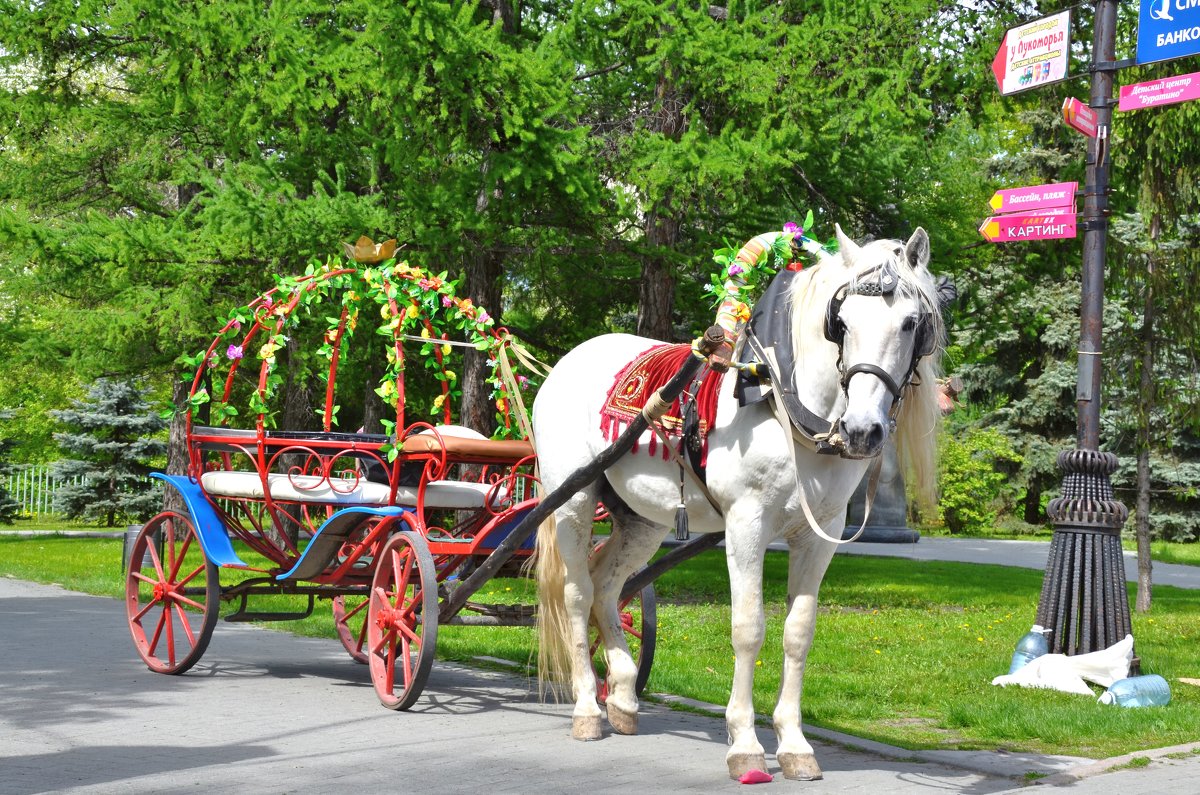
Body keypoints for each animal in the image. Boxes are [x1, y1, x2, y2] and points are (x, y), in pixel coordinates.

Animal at [535, 226, 945, 782]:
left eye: (910, 322)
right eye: (841, 324)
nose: (863, 429)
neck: (785, 399)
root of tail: (571, 359)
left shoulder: (820, 535)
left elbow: (799, 633)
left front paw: (794, 744)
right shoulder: (747, 524)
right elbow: (749, 629)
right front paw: (746, 744)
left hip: (641, 518)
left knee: (607, 589)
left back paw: (620, 696)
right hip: (573, 501)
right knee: (577, 595)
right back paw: (586, 709)